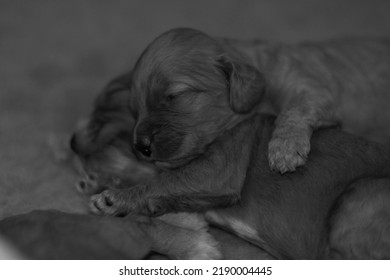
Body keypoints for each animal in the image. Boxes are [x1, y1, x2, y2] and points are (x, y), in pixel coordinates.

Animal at [71, 71, 390, 258]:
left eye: (100, 117)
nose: (71, 142)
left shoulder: (216, 171)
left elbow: (146, 204)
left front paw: (113, 198)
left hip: (357, 195)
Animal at [128, 27, 390, 173]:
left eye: (174, 96)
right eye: (135, 109)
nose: (140, 147)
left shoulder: (311, 88)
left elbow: (294, 109)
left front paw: (285, 148)